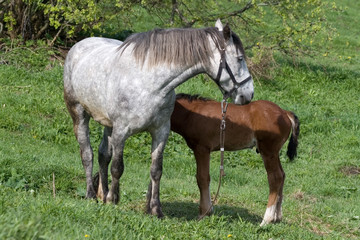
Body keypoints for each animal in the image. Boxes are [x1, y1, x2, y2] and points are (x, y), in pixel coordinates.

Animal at [63, 19, 255, 217]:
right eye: (240, 59)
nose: (248, 94)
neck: (150, 83)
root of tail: (79, 45)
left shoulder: (161, 132)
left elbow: (156, 170)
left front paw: (155, 209)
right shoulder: (121, 132)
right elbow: (117, 167)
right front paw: (112, 201)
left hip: (109, 125)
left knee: (103, 155)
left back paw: (103, 194)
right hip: (79, 114)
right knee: (87, 154)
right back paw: (91, 195)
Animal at [170, 94, 300, 225]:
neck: (192, 114)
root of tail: (284, 112)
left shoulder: (202, 149)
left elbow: (202, 178)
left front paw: (204, 213)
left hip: (268, 151)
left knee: (275, 177)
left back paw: (266, 220)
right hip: (274, 153)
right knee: (282, 175)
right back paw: (277, 217)